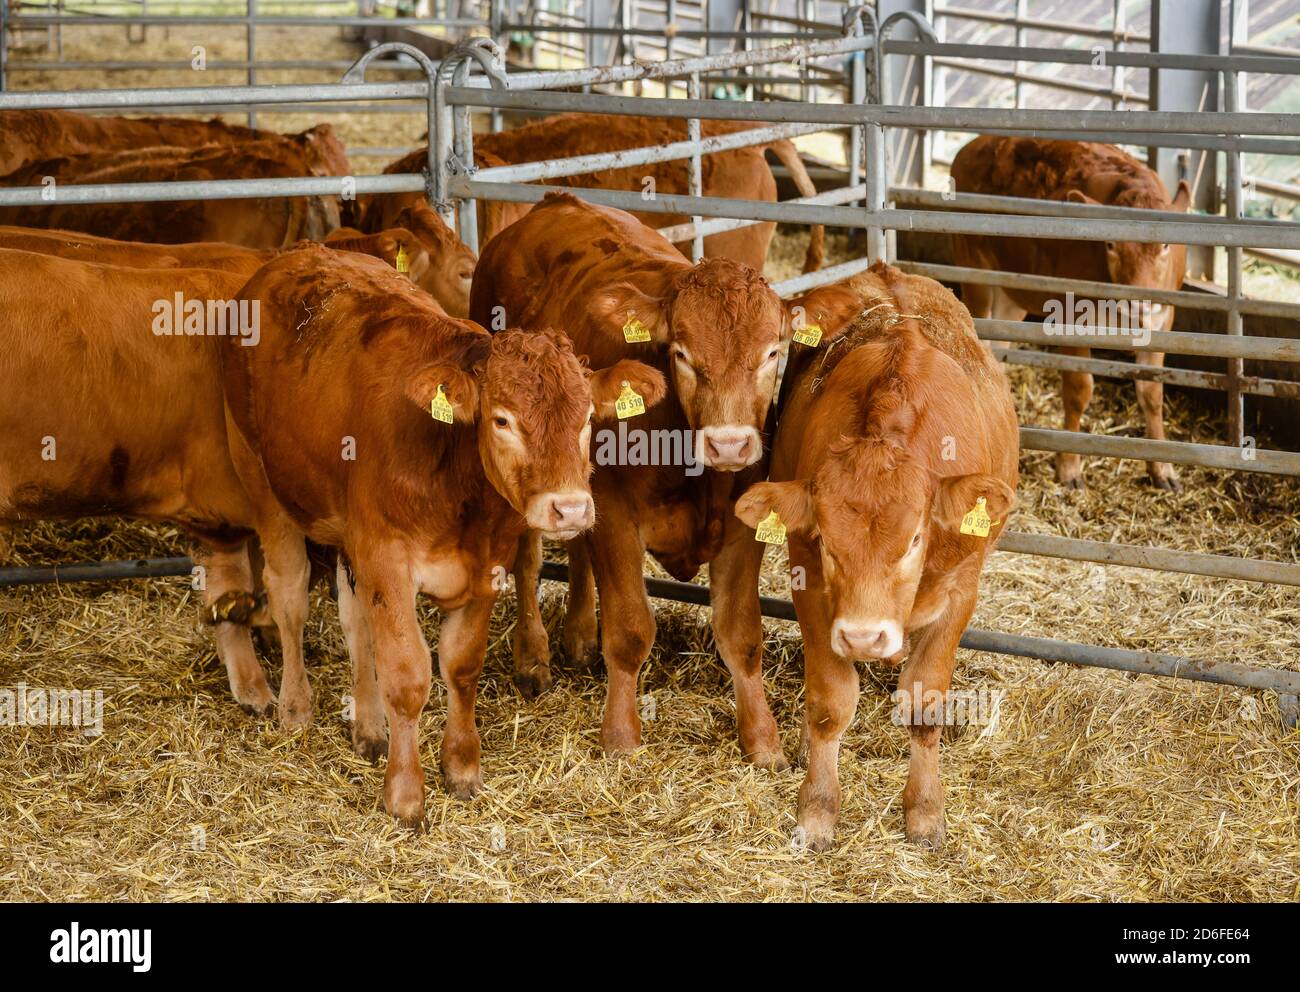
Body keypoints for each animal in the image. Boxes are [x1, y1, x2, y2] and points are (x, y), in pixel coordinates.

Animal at [219, 247, 665, 821]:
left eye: (589, 416)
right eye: (502, 420)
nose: (569, 508)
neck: (455, 480)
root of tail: (291, 258)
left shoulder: (485, 564)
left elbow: (460, 666)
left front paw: (461, 768)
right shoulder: (387, 557)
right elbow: (408, 675)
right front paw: (405, 795)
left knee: (354, 619)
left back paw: (368, 727)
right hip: (261, 480)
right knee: (289, 596)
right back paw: (296, 708)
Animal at [473, 193, 857, 764]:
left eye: (772, 351)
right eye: (681, 352)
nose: (729, 444)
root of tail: (553, 202)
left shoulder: (741, 524)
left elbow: (741, 633)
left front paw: (763, 740)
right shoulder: (613, 511)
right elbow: (631, 629)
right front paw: (621, 737)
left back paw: (579, 636)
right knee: (528, 559)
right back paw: (532, 656)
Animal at [738, 263, 1019, 852]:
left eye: (913, 539)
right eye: (825, 540)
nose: (865, 637)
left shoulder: (962, 589)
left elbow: (923, 702)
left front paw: (926, 813)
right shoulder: (810, 585)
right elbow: (830, 701)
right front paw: (817, 808)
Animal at [946, 135, 1190, 494]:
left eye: (1165, 247)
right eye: (1110, 245)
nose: (1138, 303)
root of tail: (973, 146)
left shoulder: (1164, 321)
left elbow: (1152, 394)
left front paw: (1162, 468)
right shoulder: (1072, 320)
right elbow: (1079, 391)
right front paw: (1069, 467)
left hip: (1013, 293)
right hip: (975, 269)